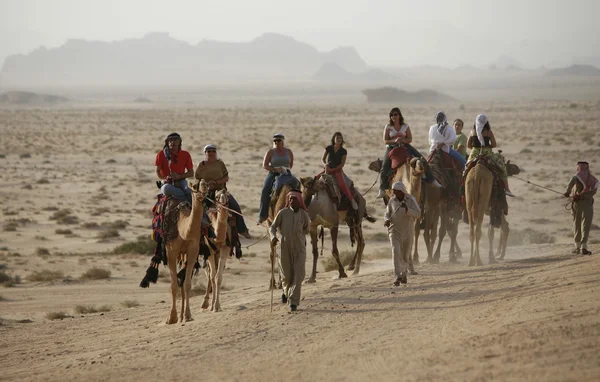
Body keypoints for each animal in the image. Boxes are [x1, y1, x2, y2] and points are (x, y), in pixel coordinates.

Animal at [164, 181, 209, 324]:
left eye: (205, 184)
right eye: (194, 186)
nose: (204, 187)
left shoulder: (193, 250)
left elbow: (187, 284)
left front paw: (188, 315)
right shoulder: (170, 251)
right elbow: (173, 286)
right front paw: (171, 317)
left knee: (183, 281)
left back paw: (183, 315)